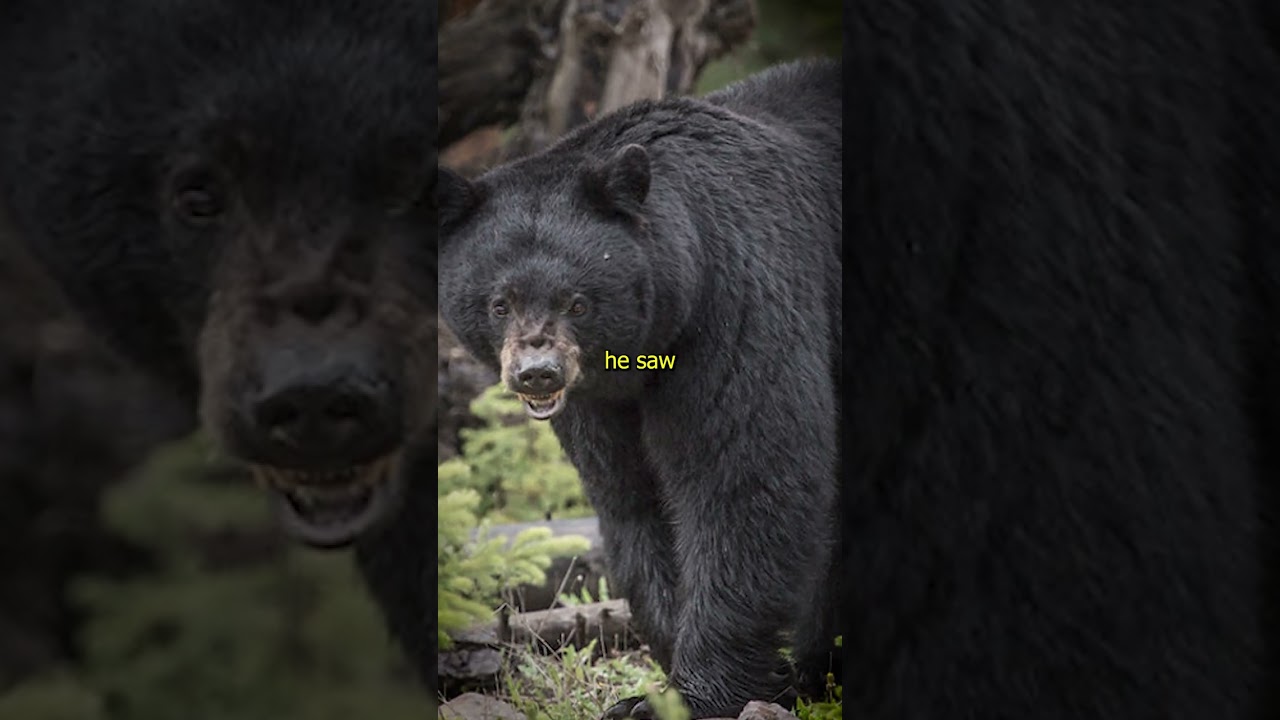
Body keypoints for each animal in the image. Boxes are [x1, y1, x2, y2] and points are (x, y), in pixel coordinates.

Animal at [437, 58, 843, 718]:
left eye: (576, 300)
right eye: (500, 303)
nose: (537, 373)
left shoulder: (737, 306)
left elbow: (744, 477)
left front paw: (699, 692)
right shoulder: (599, 404)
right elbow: (633, 499)